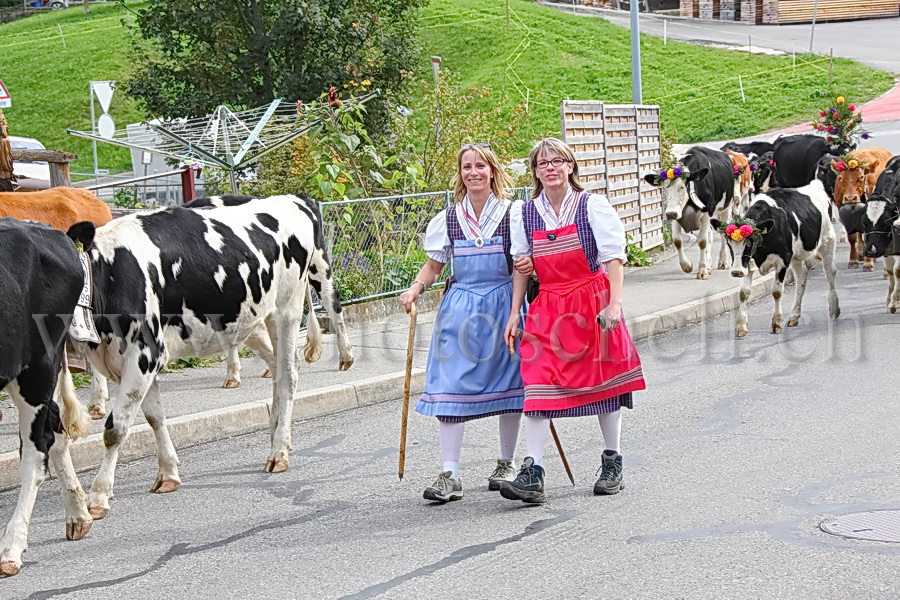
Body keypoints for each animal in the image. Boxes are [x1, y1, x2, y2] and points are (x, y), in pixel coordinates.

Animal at [67, 193, 352, 520]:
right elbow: (155, 417)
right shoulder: (139, 361)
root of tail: (293, 197)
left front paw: (98, 496)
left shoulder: (144, 353)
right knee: (277, 369)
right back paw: (277, 436)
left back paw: (280, 449)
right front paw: (168, 473)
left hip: (289, 306)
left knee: (291, 371)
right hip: (257, 315)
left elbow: (117, 428)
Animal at [644, 145, 736, 278]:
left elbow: (702, 241)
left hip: (726, 208)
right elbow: (677, 240)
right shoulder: (677, 213)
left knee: (723, 234)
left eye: (682, 187)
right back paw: (709, 264)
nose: (670, 213)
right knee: (709, 236)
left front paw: (702, 270)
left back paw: (723, 262)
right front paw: (687, 265)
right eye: (664, 187)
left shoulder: (707, 211)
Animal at [712, 178, 840, 338]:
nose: (736, 272)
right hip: (796, 256)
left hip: (828, 241)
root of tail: (815, 185)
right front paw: (741, 326)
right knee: (801, 278)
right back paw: (794, 316)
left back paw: (834, 309)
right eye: (729, 245)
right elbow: (743, 293)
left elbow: (777, 291)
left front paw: (776, 324)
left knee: (830, 273)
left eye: (750, 243)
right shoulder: (748, 263)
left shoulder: (782, 261)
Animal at [860, 157, 900, 312]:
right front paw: (890, 300)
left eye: (886, 221)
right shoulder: (886, 247)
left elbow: (897, 270)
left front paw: (895, 302)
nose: (872, 251)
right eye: (864, 221)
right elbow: (890, 271)